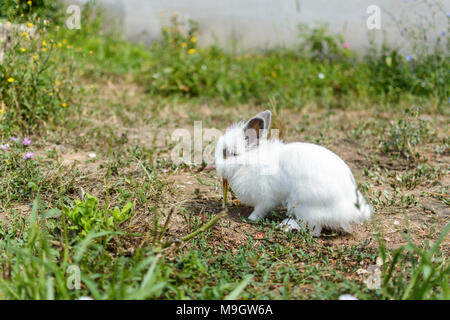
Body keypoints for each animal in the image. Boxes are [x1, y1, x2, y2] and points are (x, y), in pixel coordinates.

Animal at [214, 110, 372, 235]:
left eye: (228, 154)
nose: (217, 166)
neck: (249, 162)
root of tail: (350, 210)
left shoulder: (266, 198)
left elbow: (260, 210)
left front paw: (251, 218)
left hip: (305, 206)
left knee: (314, 230)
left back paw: (287, 226)